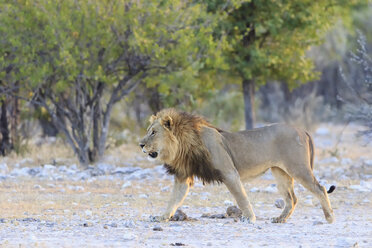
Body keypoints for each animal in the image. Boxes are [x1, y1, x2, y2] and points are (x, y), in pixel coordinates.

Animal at [138, 107, 336, 224]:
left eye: (153, 132)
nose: (140, 144)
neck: (183, 145)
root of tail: (302, 129)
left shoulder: (229, 172)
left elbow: (241, 197)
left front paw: (249, 218)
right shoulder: (183, 177)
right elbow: (173, 200)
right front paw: (161, 217)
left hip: (298, 168)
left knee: (320, 189)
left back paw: (329, 217)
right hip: (280, 172)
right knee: (292, 198)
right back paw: (280, 219)